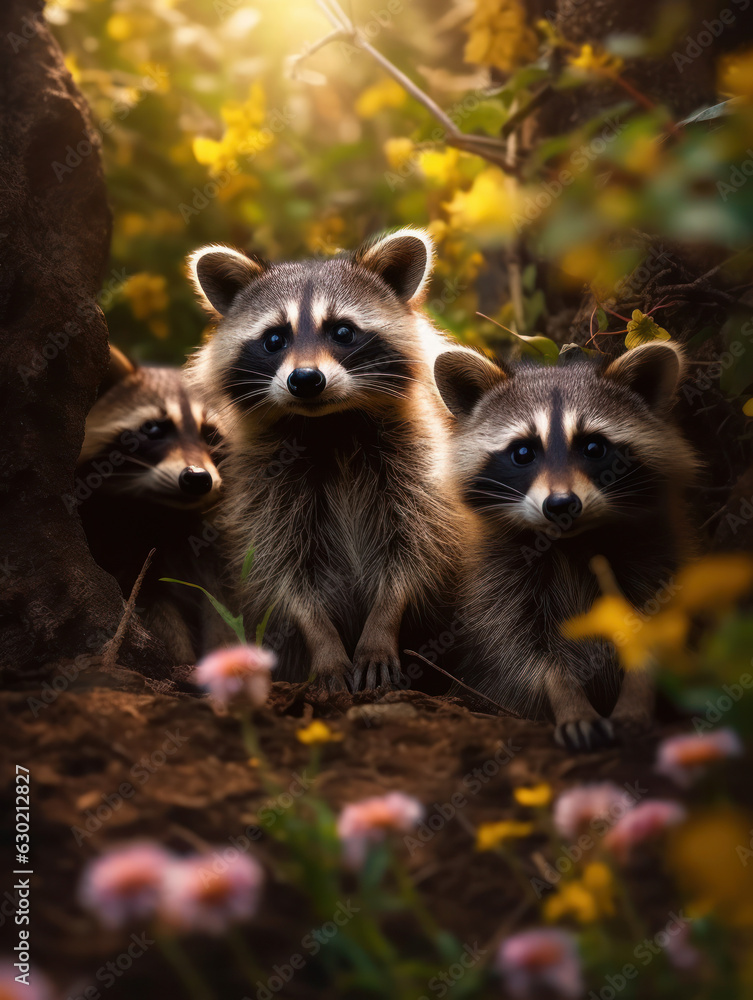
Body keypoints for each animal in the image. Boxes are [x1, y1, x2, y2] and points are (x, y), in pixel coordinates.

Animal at [78, 346, 226, 663]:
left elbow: (219, 605)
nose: (198, 478)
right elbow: (149, 603)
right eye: (154, 429)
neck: (158, 512)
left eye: (210, 434)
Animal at [186, 229, 466, 691]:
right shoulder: (267, 483)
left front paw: (381, 628)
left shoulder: (418, 462)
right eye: (275, 339)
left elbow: (416, 550)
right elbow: (283, 570)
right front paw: (324, 643)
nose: (305, 380)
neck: (330, 426)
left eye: (343, 332)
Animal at [434, 342, 697, 751]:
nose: (561, 505)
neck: (571, 544)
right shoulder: (497, 580)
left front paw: (636, 695)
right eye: (523, 453)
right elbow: (524, 654)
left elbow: (658, 631)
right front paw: (568, 699)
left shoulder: (656, 559)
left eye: (594, 447)